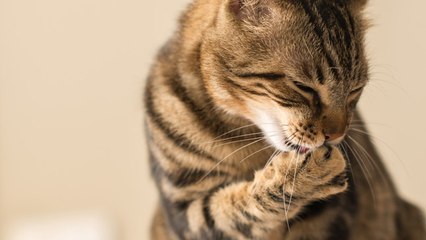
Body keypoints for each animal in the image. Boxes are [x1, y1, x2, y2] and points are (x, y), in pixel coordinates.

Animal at [144, 0, 426, 239]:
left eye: (355, 90)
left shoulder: (330, 218)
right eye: (303, 87)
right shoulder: (185, 210)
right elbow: (233, 209)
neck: (240, 135)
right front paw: (305, 174)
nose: (337, 135)